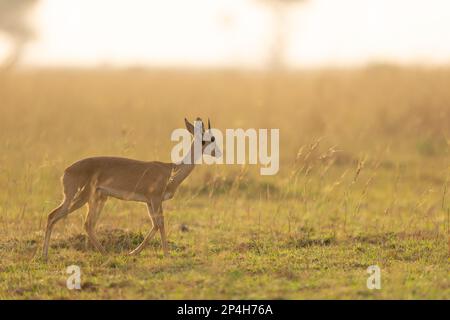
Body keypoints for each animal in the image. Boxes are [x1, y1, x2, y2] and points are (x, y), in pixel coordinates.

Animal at [41, 117, 219, 260]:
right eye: (207, 139)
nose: (218, 153)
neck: (171, 170)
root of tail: (66, 171)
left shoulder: (149, 202)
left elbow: (155, 225)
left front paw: (133, 252)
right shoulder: (155, 199)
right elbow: (161, 223)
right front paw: (167, 254)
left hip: (98, 199)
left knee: (87, 224)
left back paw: (105, 253)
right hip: (79, 198)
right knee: (53, 216)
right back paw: (45, 255)